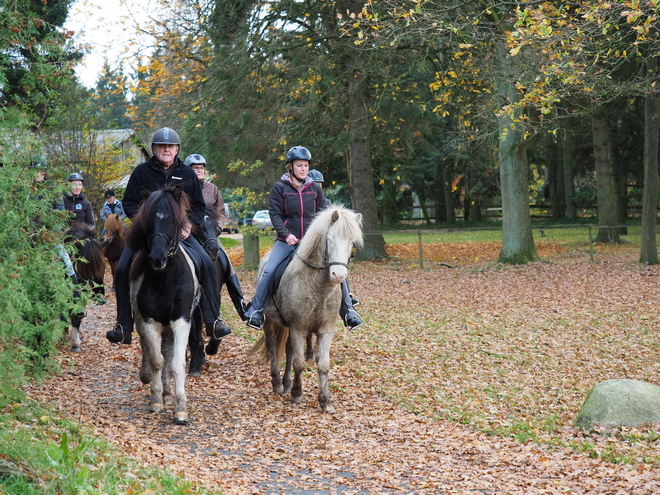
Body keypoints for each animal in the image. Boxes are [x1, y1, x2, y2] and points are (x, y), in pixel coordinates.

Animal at [127, 187, 200, 426]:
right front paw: (156, 400)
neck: (164, 279)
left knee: (168, 354)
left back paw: (168, 393)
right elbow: (156, 360)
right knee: (150, 351)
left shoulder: (181, 322)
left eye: (173, 221)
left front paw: (180, 409)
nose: (157, 258)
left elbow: (176, 364)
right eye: (148, 220)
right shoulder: (149, 323)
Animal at [253, 205, 366, 414]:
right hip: (270, 321)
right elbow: (299, 364)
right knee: (272, 346)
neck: (318, 288)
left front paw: (325, 401)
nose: (338, 275)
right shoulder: (298, 328)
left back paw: (286, 383)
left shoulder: (325, 330)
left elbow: (323, 365)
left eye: (352, 242)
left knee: (288, 350)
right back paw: (278, 383)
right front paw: (297, 394)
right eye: (330, 239)